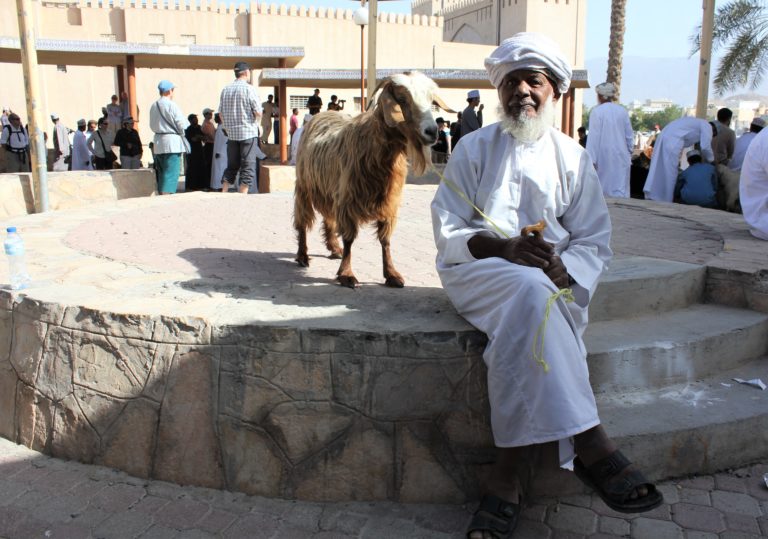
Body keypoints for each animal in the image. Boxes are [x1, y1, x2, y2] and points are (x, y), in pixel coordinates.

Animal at [294, 75, 450, 292]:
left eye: (430, 100)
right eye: (402, 99)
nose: (432, 132)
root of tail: (322, 114)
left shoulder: (388, 202)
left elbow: (385, 240)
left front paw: (392, 274)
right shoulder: (348, 199)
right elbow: (350, 239)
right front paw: (347, 275)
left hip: (329, 189)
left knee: (329, 217)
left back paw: (334, 248)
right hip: (305, 186)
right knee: (303, 220)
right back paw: (302, 255)